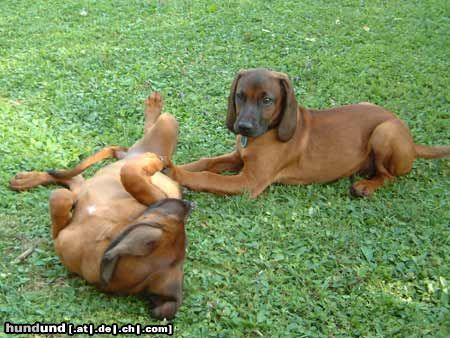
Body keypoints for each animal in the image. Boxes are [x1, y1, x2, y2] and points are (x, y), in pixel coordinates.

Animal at [9, 93, 192, 320]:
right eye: (175, 215)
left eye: (168, 218)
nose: (187, 203)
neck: (106, 233)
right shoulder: (155, 195)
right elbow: (131, 177)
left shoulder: (58, 237)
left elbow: (60, 198)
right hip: (162, 128)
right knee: (75, 176)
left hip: (167, 124)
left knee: (72, 182)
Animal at [169, 68, 450, 198]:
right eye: (240, 96)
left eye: (267, 100)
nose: (243, 127)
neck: (268, 132)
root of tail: (411, 140)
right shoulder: (238, 157)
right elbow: (207, 162)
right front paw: (176, 165)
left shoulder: (249, 181)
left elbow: (208, 177)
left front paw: (176, 174)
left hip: (385, 132)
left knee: (389, 176)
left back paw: (366, 186)